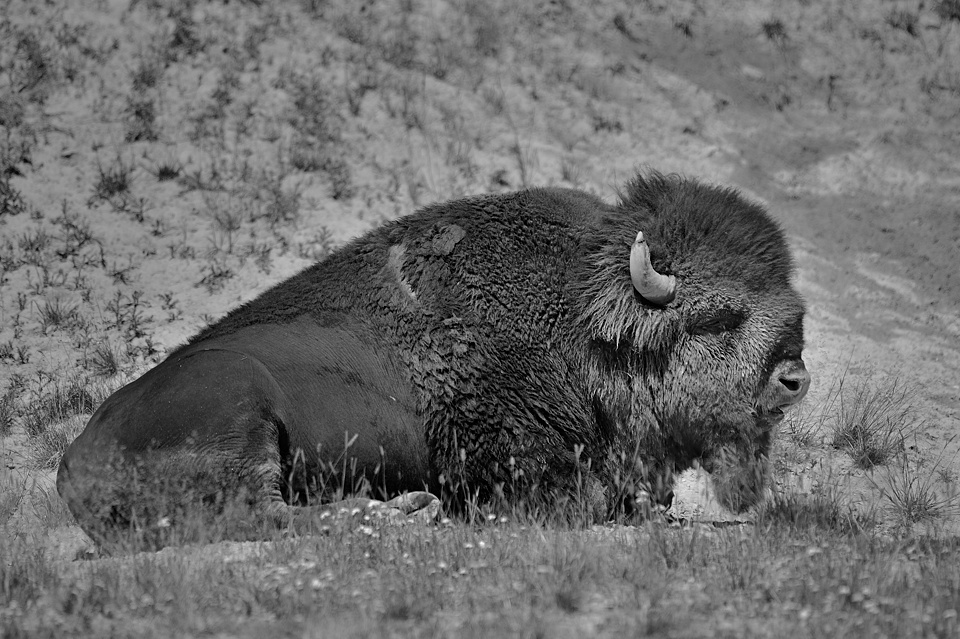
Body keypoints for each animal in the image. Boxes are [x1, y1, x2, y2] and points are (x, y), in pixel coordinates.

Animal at [57, 170, 810, 545]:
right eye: (718, 317)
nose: (794, 377)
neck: (584, 321)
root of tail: (71, 462)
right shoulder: (511, 467)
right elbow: (590, 500)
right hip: (241, 412)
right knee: (266, 514)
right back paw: (409, 511)